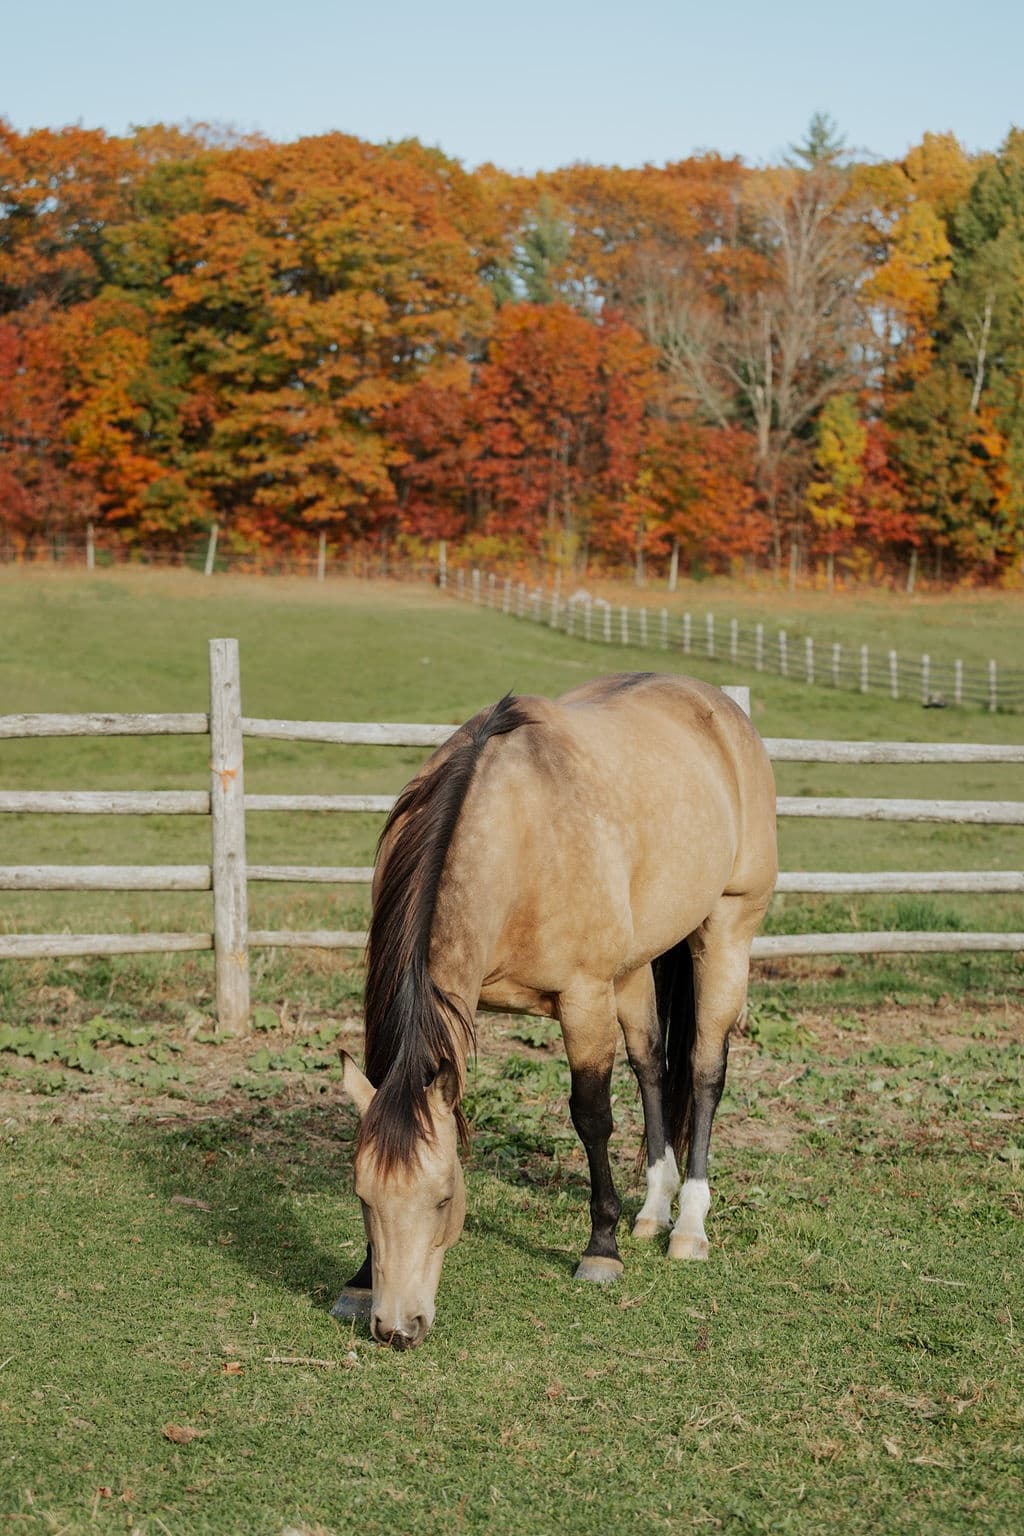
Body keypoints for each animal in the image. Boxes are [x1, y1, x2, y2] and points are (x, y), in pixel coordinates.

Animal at [337, 672, 777, 1349]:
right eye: (363, 1198)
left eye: (444, 1198)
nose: (397, 1327)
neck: (514, 835)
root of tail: (719, 707)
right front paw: (361, 1279)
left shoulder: (583, 997)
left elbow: (592, 1117)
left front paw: (601, 1250)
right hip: (635, 966)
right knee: (652, 1065)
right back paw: (653, 1212)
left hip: (726, 929)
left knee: (704, 1071)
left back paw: (688, 1228)